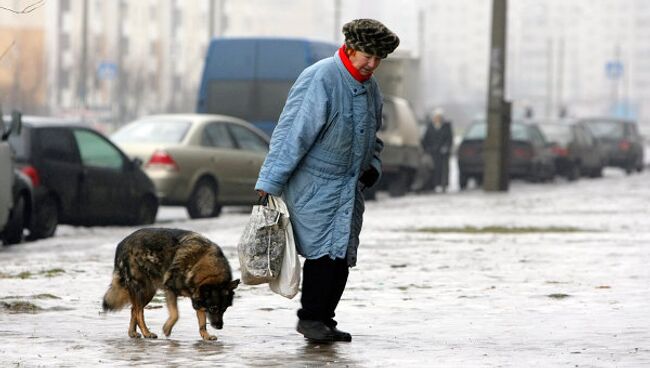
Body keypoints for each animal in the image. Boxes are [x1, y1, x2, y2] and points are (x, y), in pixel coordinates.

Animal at [102, 229, 239, 340]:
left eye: (225, 309)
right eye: (213, 308)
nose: (220, 327)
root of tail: (121, 244)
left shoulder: (198, 299)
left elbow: (202, 322)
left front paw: (205, 335)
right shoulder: (170, 290)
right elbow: (175, 314)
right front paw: (167, 329)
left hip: (148, 292)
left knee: (134, 309)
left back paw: (132, 333)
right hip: (142, 289)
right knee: (139, 312)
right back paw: (147, 333)